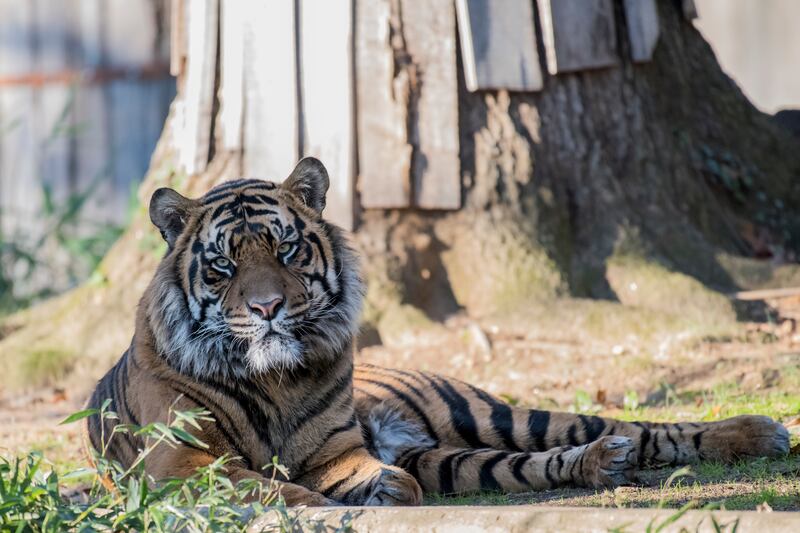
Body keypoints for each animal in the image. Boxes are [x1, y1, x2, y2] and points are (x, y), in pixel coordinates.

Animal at [86, 157, 788, 502]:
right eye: (225, 265)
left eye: (285, 250)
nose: (266, 309)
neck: (272, 379)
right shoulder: (180, 463)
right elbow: (274, 492)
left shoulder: (336, 455)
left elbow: (336, 483)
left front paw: (372, 498)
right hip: (453, 457)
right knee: (537, 464)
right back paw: (600, 465)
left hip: (490, 416)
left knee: (634, 427)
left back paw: (756, 431)